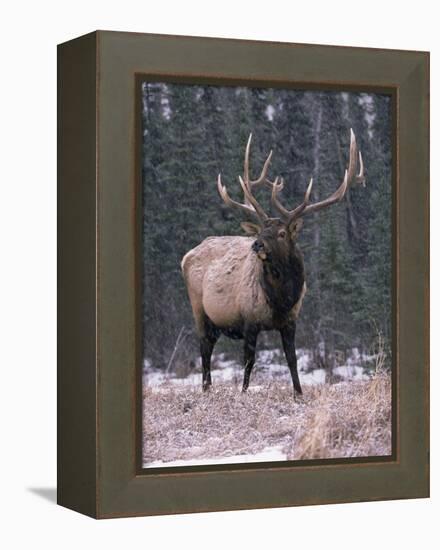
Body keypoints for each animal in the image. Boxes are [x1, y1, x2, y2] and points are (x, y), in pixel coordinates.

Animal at [180, 130, 366, 396]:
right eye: (261, 230)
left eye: (281, 233)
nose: (257, 244)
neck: (281, 299)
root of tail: (186, 256)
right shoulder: (249, 320)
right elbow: (249, 360)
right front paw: (244, 392)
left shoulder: (291, 320)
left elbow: (292, 359)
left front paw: (299, 393)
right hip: (199, 308)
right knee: (205, 348)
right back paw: (206, 389)